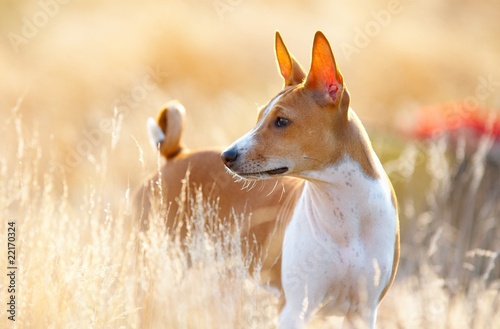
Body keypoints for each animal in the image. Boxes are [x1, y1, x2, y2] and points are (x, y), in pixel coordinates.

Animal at [221, 30, 400, 326]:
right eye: (259, 117)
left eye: (281, 121)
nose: (226, 155)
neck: (346, 218)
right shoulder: (294, 309)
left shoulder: (363, 312)